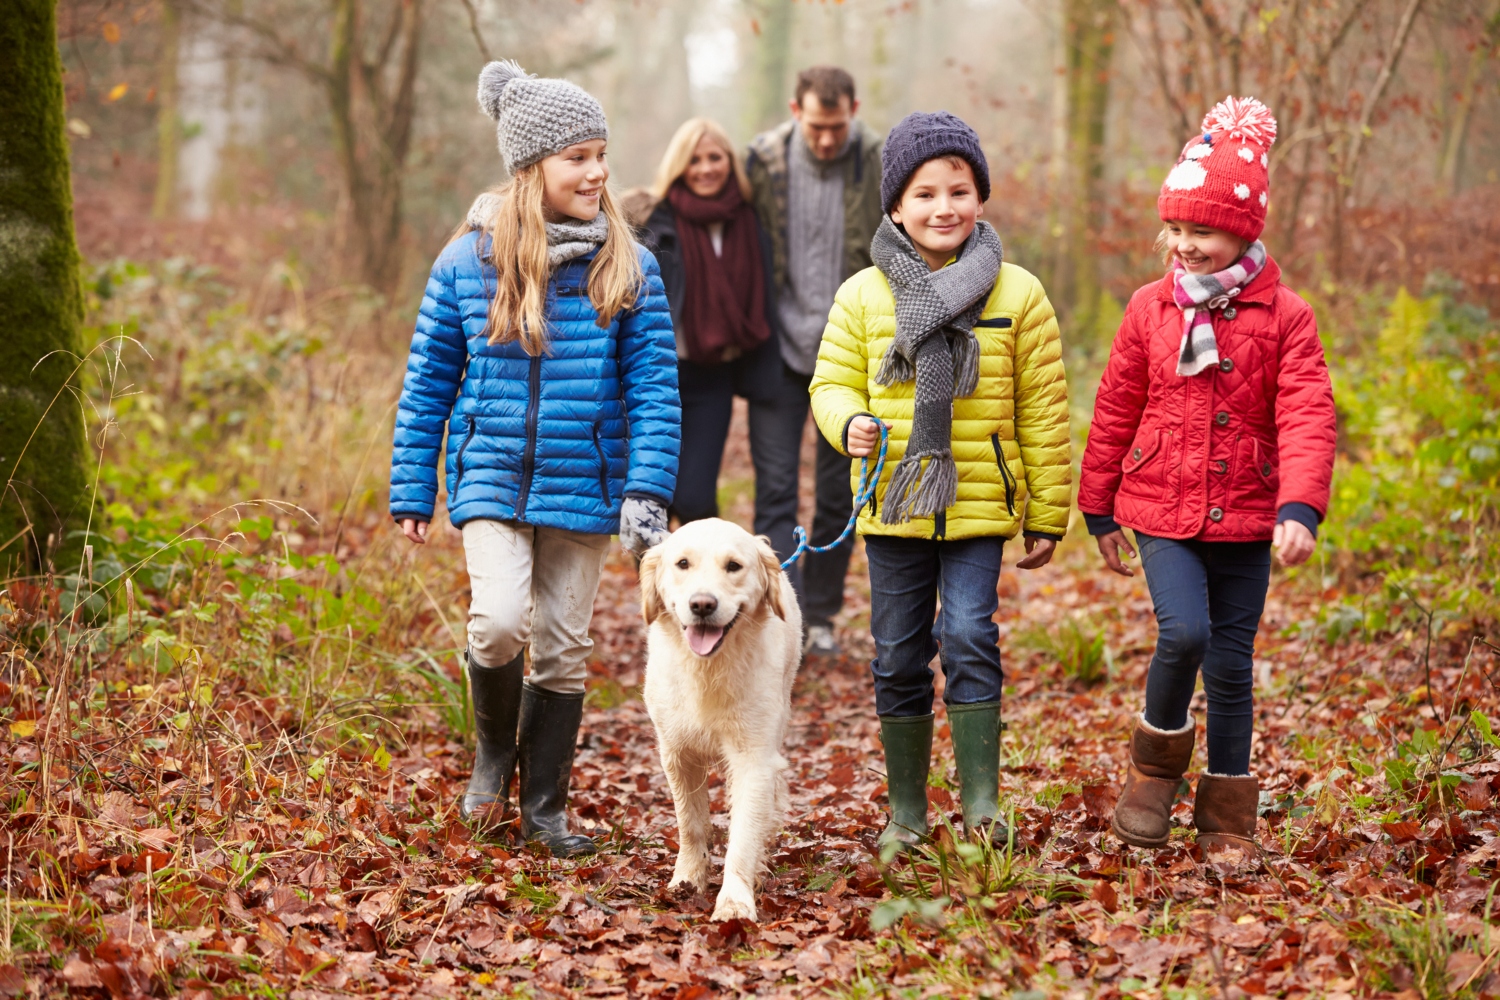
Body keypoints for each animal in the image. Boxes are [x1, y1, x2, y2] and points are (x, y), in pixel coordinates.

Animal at [639, 521, 804, 917]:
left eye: (733, 566)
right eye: (683, 563)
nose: (702, 604)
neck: (708, 668)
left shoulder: (754, 759)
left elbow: (742, 835)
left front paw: (734, 902)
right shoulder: (677, 754)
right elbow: (691, 824)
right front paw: (687, 880)